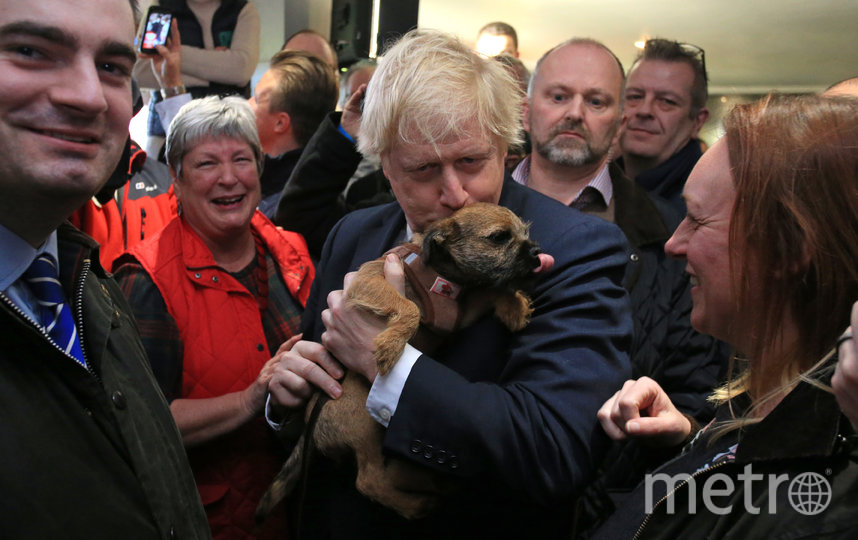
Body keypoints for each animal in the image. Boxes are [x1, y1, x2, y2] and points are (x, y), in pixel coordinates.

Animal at [252, 201, 540, 520]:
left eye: (525, 232)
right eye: (499, 237)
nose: (536, 254)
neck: (443, 276)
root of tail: (310, 430)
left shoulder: (459, 315)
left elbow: (492, 290)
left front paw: (514, 307)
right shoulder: (368, 281)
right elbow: (409, 307)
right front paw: (391, 345)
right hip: (364, 421)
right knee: (369, 480)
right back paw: (418, 500)